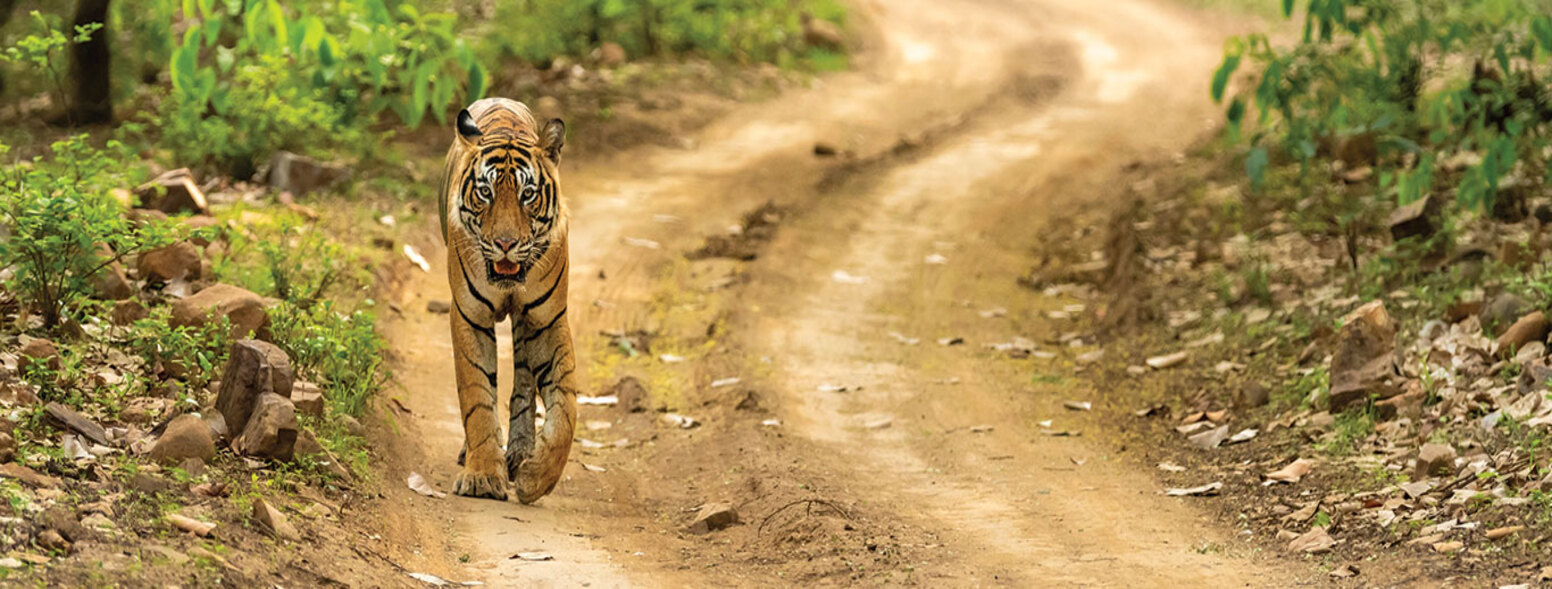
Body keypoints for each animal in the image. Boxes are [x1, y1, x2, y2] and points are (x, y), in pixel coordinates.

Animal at [438, 97, 577, 503]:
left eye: (527, 195)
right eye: (485, 192)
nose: (505, 243)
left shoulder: (549, 319)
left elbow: (567, 407)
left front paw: (536, 479)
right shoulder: (468, 317)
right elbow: (477, 397)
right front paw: (483, 476)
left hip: (527, 324)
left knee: (524, 382)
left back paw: (519, 452)